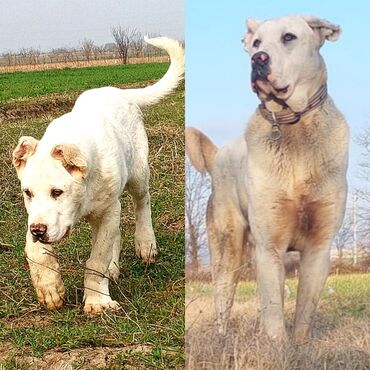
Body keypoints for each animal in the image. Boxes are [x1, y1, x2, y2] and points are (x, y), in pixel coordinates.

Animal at [12, 37, 184, 314]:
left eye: (58, 192)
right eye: (27, 193)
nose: (38, 231)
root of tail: (120, 92)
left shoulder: (107, 211)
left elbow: (96, 259)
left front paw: (96, 302)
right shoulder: (38, 216)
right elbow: (35, 252)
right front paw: (50, 288)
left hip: (137, 174)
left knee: (142, 202)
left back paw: (145, 243)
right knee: (117, 233)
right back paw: (113, 268)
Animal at [186, 15, 348, 342]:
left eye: (289, 37)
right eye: (257, 43)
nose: (258, 59)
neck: (294, 128)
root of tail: (218, 155)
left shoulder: (319, 248)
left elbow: (303, 310)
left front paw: (298, 345)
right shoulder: (269, 245)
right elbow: (273, 309)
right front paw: (276, 346)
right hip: (228, 250)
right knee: (223, 298)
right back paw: (222, 340)